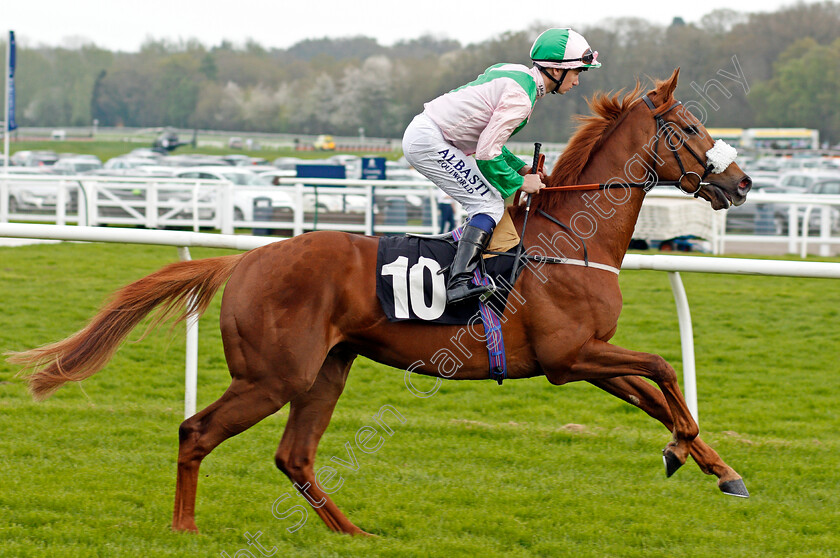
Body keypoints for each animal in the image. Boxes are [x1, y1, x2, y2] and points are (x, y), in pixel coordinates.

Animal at [8, 70, 756, 540]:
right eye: (691, 126)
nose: (743, 182)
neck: (569, 241)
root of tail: (244, 259)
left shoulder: (581, 358)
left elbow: (656, 391)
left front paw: (715, 467)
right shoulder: (570, 356)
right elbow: (662, 368)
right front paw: (686, 450)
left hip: (325, 372)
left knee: (294, 457)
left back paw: (354, 531)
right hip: (272, 376)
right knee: (198, 433)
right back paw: (184, 527)